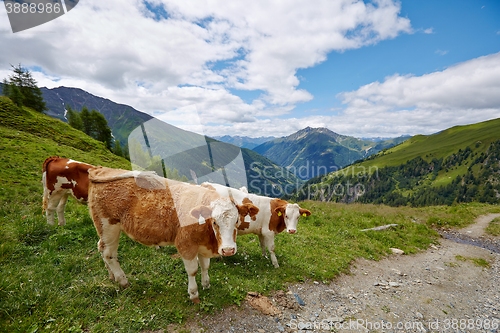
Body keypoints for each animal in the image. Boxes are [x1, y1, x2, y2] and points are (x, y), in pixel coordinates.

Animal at [87, 167, 258, 302]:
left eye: (237, 220)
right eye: (214, 222)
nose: (228, 250)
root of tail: (102, 169)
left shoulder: (202, 245)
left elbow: (205, 265)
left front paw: (206, 284)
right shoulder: (185, 244)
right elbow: (192, 270)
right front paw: (194, 294)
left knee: (101, 248)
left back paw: (112, 276)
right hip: (108, 226)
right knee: (109, 254)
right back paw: (122, 281)